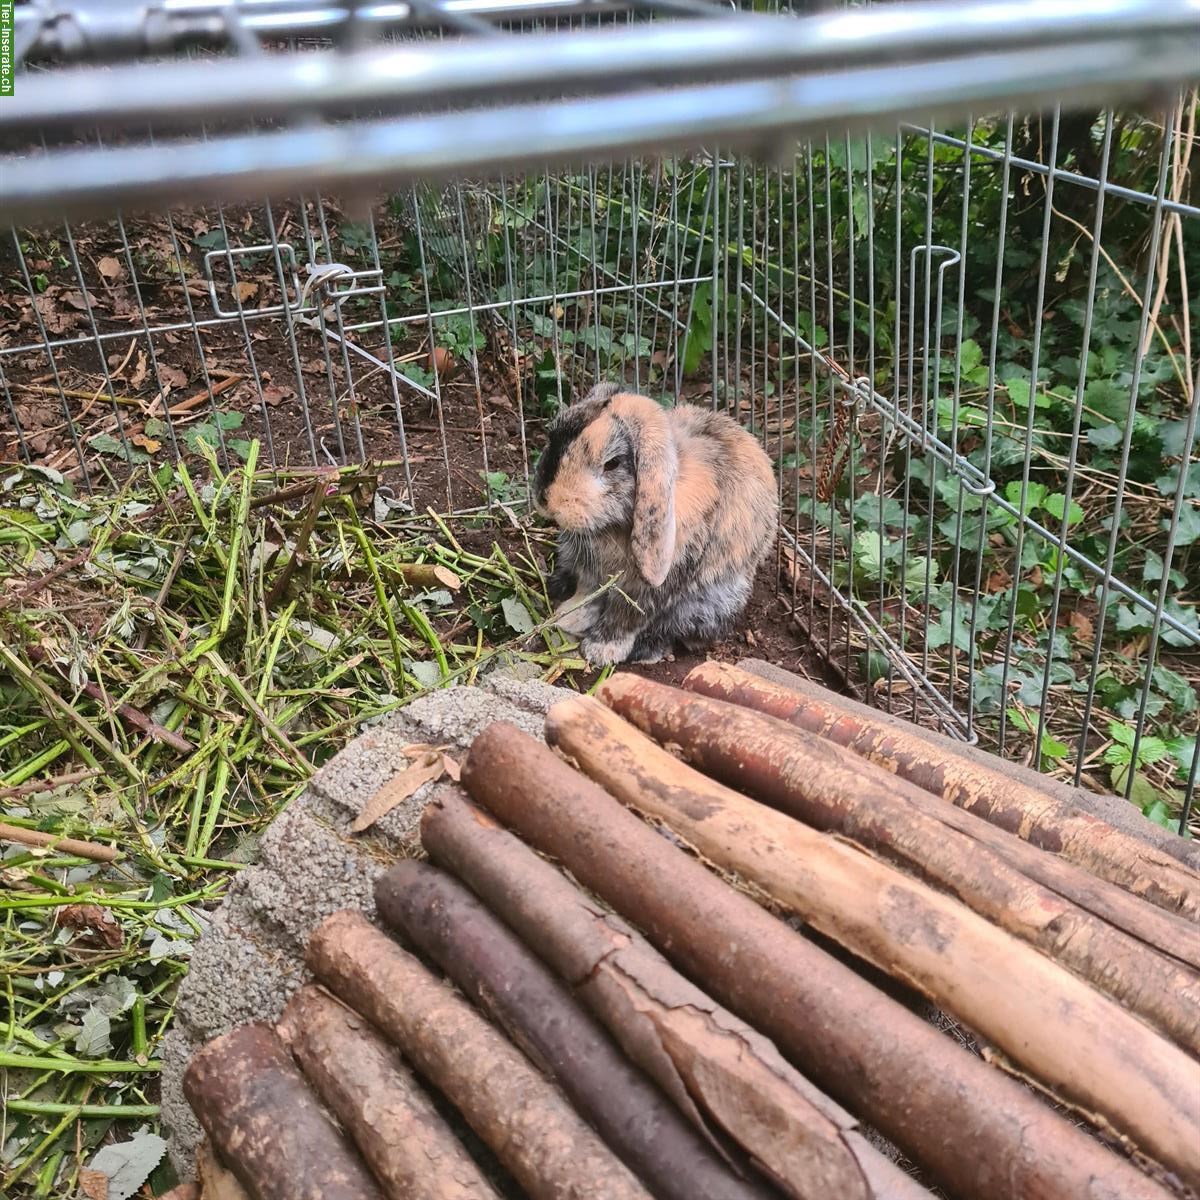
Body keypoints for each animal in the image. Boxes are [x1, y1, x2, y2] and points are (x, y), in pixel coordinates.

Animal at [535, 381, 777, 667]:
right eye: (553, 433)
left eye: (612, 463)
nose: (547, 501)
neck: (612, 526)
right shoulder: (589, 569)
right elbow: (587, 595)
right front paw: (567, 618)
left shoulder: (648, 589)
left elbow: (625, 616)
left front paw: (601, 650)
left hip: (711, 603)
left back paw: (646, 652)